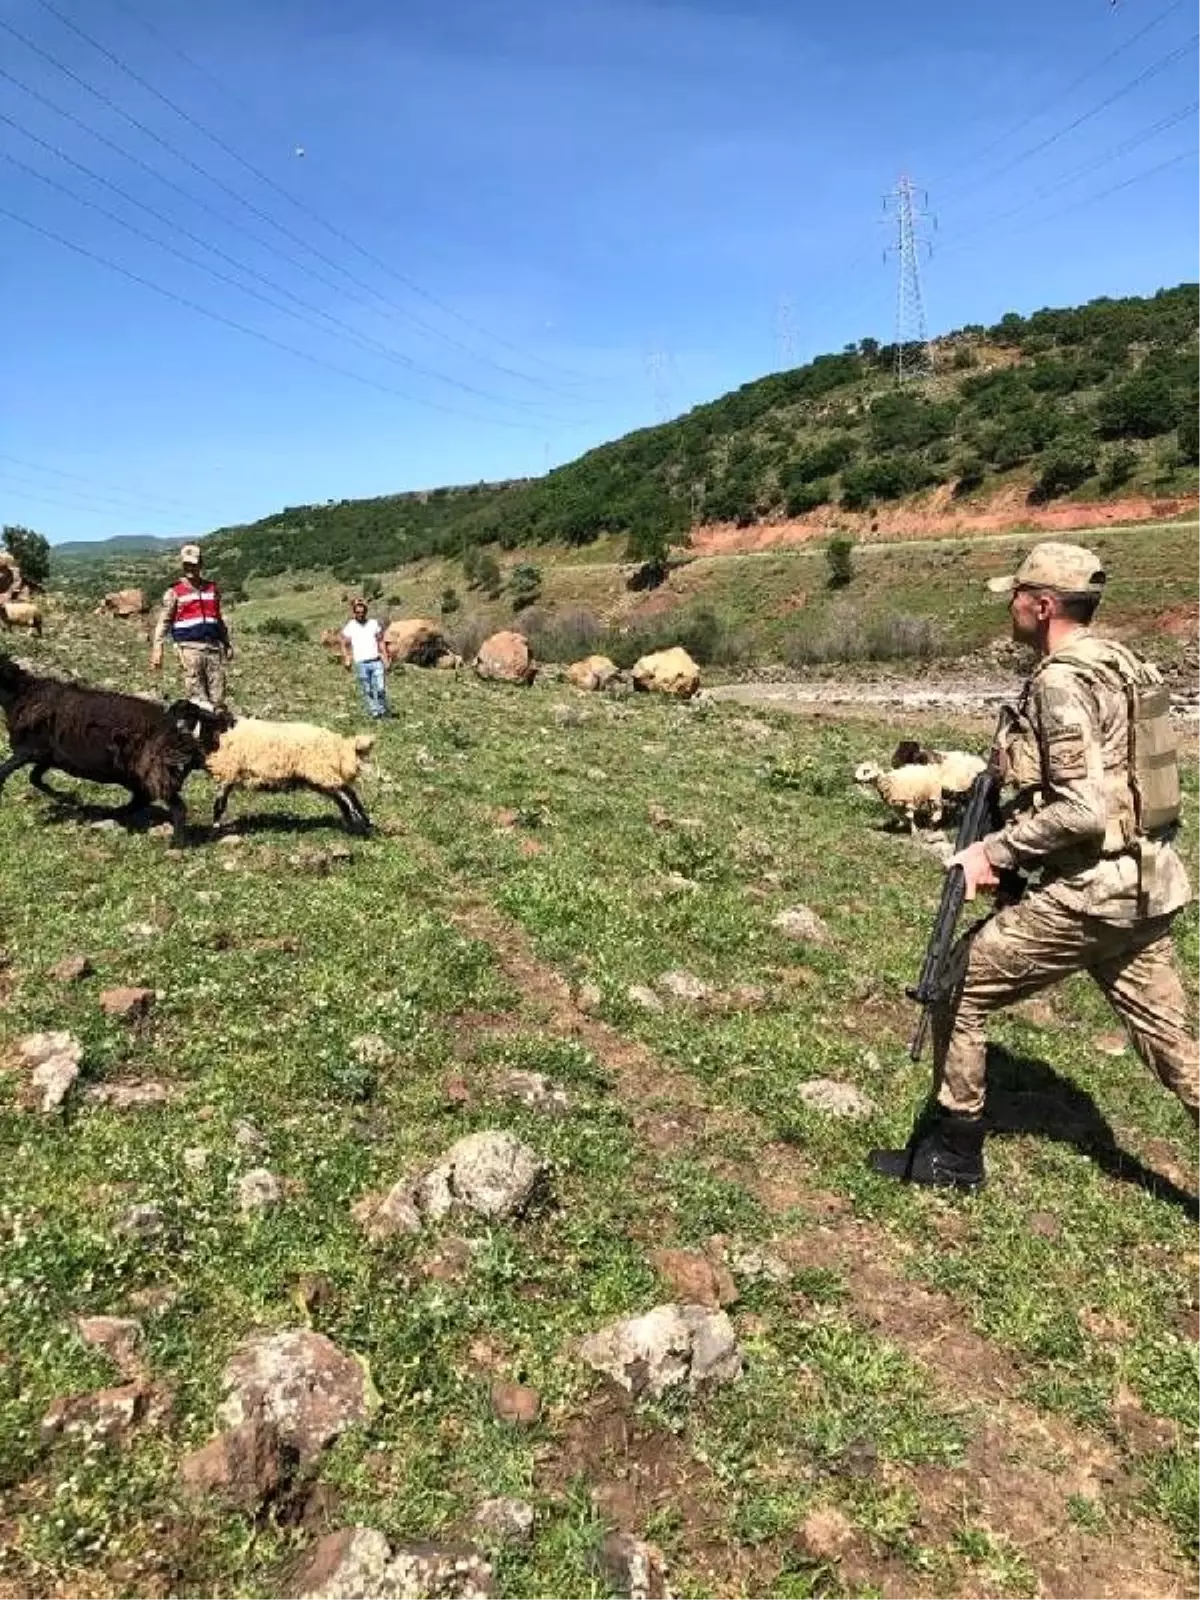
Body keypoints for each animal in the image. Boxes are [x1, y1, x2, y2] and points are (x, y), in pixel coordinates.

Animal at [0, 656, 206, 844]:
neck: (22, 693)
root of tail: (174, 726)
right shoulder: (48, 756)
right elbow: (34, 778)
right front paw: (67, 797)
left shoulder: (30, 750)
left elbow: (7, 771)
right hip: (136, 774)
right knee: (142, 799)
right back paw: (109, 813)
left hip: (152, 770)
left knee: (176, 807)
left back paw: (176, 843)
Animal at [173, 700, 376, 832]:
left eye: (189, 713)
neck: (216, 730)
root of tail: (339, 742)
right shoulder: (228, 775)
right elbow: (221, 803)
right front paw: (216, 826)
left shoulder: (227, 772)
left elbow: (219, 804)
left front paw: (215, 828)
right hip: (319, 777)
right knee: (341, 798)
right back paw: (352, 821)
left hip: (321, 771)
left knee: (348, 792)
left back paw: (364, 821)